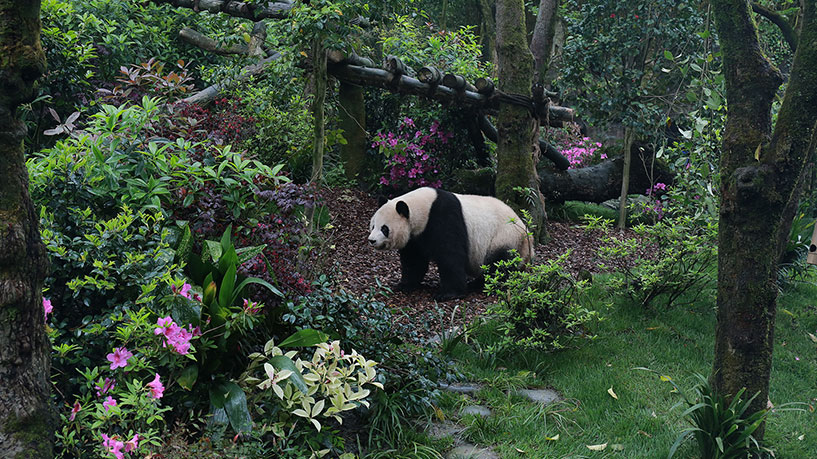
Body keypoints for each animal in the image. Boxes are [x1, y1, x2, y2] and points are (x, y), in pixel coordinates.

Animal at [367, 187, 533, 301]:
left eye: (384, 228)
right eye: (373, 225)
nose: (372, 240)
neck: (422, 208)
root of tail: (528, 237)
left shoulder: (443, 218)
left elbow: (450, 256)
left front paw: (448, 294)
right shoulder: (415, 237)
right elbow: (414, 261)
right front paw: (404, 285)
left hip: (505, 236)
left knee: (499, 263)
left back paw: (484, 284)